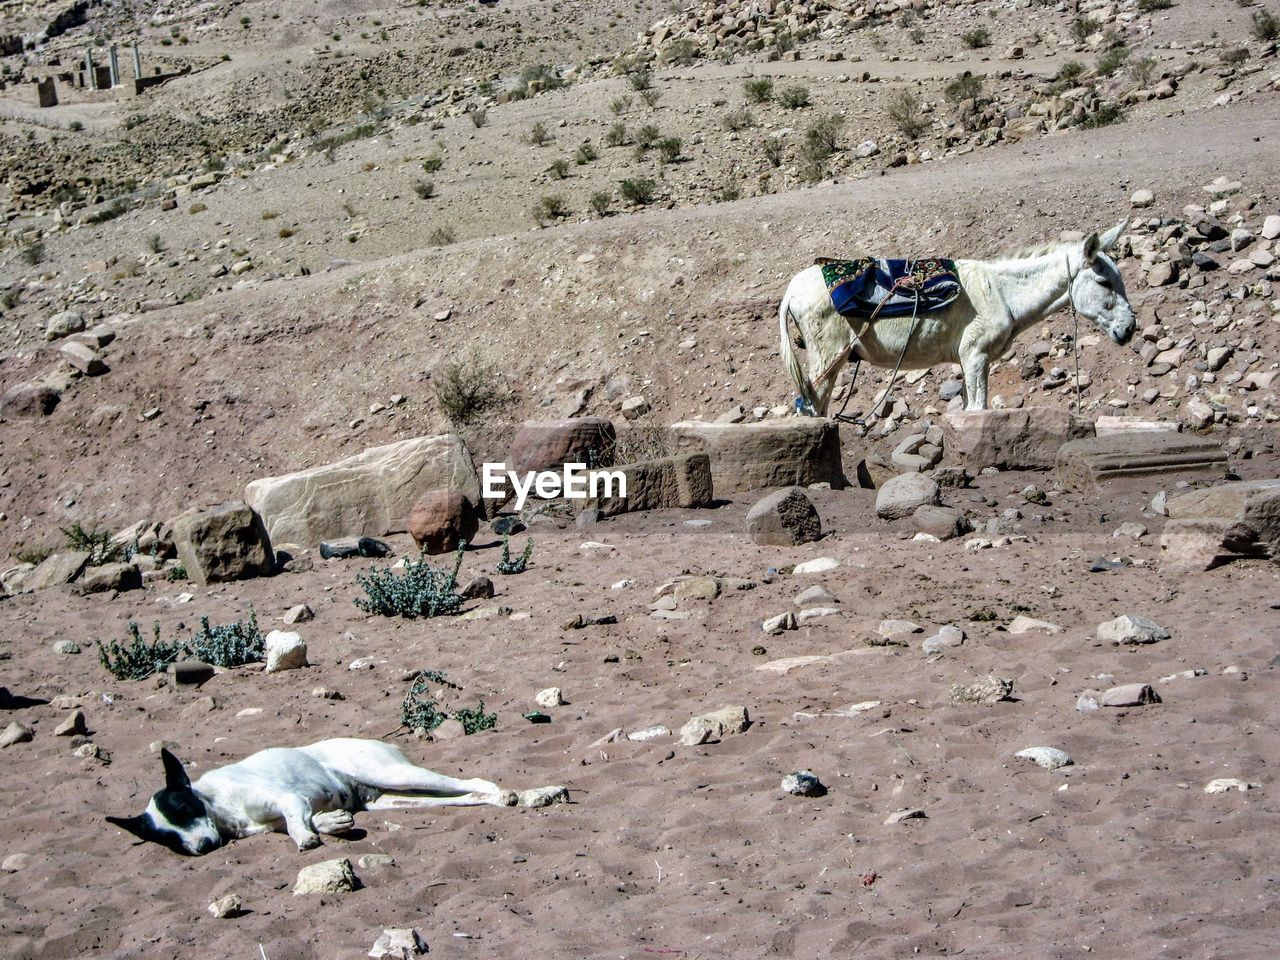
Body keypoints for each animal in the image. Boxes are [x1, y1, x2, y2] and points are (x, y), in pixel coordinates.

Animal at [106, 737, 514, 855]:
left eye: (184, 807)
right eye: (167, 838)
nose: (203, 847)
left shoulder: (288, 802)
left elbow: (295, 823)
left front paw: (306, 837)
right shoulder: (288, 812)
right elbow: (312, 820)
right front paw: (332, 822)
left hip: (393, 773)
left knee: (475, 781)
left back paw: (512, 795)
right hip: (393, 798)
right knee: (463, 796)